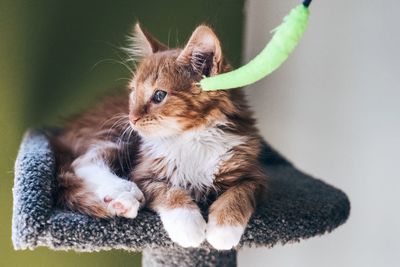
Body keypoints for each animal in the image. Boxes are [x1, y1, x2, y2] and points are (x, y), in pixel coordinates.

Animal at [52, 23, 266, 251]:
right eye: (133, 92)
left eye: (159, 96)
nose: (132, 118)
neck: (192, 137)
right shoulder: (144, 171)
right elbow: (169, 191)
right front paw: (188, 224)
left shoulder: (251, 171)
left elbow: (239, 193)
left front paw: (224, 230)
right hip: (114, 134)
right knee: (84, 161)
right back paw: (123, 194)